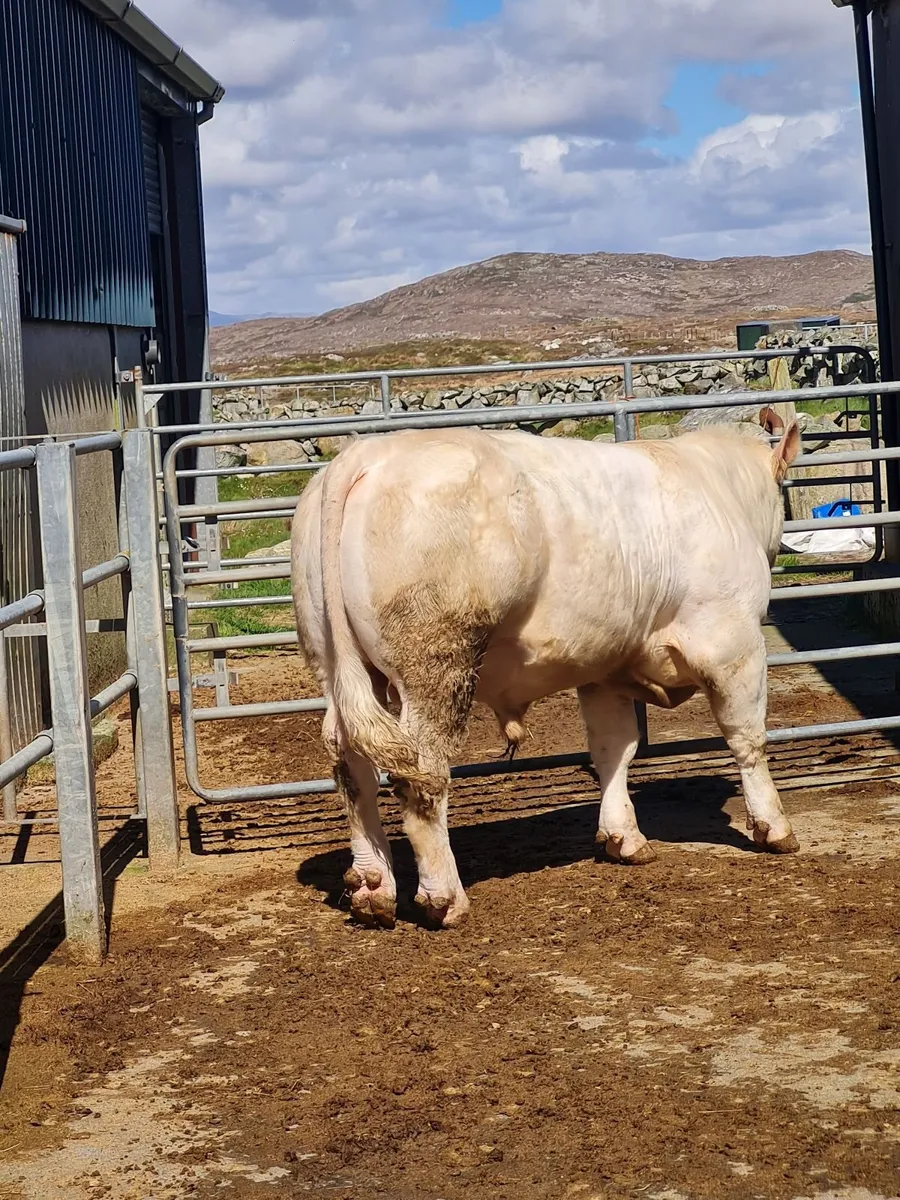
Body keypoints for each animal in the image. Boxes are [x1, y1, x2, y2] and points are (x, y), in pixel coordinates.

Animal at [291, 419, 801, 930]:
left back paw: (372, 888)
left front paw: (623, 839)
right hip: (435, 661)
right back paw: (444, 899)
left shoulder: (603, 666)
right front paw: (774, 828)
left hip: (335, 662)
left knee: (350, 761)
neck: (720, 488)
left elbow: (614, 749)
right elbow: (747, 738)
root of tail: (366, 455)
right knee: (421, 772)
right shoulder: (733, 644)